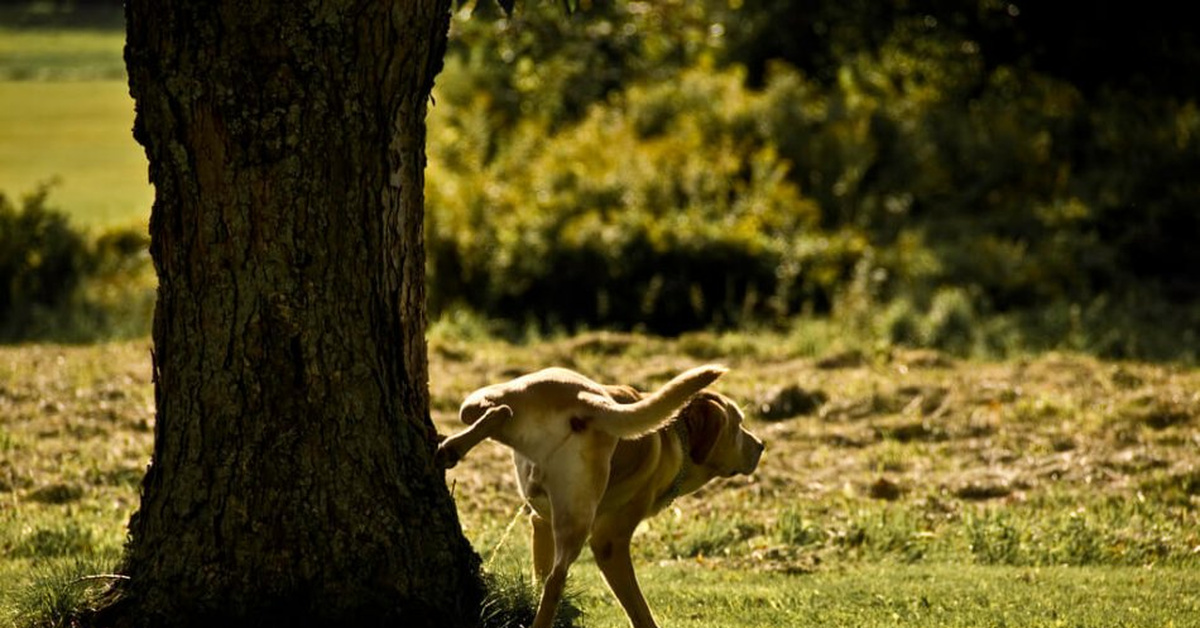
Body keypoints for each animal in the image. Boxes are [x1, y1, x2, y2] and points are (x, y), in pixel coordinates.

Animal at [436, 365, 763, 628]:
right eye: (738, 424)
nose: (761, 445)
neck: (675, 434)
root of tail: (589, 401)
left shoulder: (541, 522)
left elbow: (539, 572)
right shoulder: (610, 544)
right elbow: (638, 608)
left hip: (491, 400)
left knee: (497, 413)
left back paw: (453, 446)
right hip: (580, 518)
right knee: (556, 581)